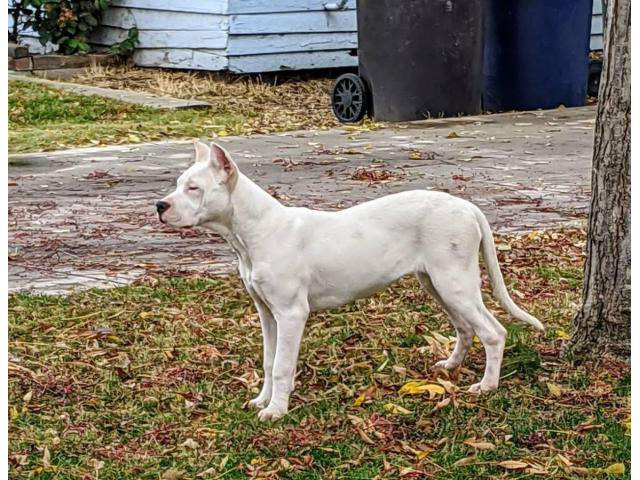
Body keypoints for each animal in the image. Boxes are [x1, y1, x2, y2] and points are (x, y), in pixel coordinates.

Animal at [158, 140, 544, 420]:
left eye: (193, 188)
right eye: (177, 185)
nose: (160, 206)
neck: (253, 232)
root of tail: (468, 207)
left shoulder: (291, 314)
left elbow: (282, 365)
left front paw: (277, 411)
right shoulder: (267, 313)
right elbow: (269, 360)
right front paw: (262, 400)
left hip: (454, 282)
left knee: (493, 332)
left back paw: (487, 386)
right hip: (436, 283)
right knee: (466, 328)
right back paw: (451, 366)